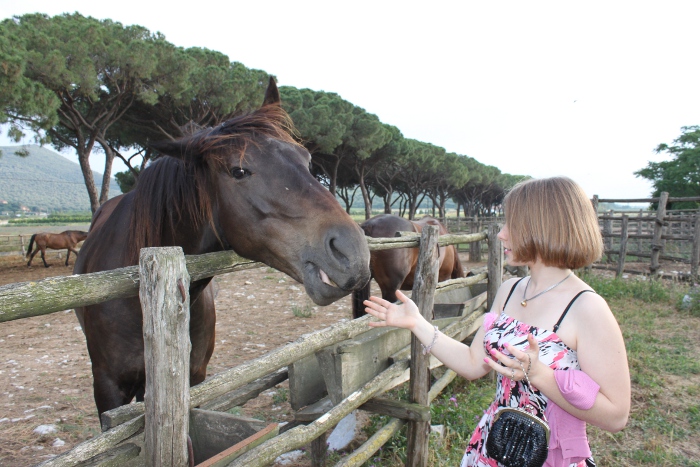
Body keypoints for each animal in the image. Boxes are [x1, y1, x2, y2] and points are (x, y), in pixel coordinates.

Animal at [73, 78, 371, 416]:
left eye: (306, 160)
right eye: (238, 170)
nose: (353, 252)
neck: (142, 299)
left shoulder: (195, 379)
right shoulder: (108, 389)